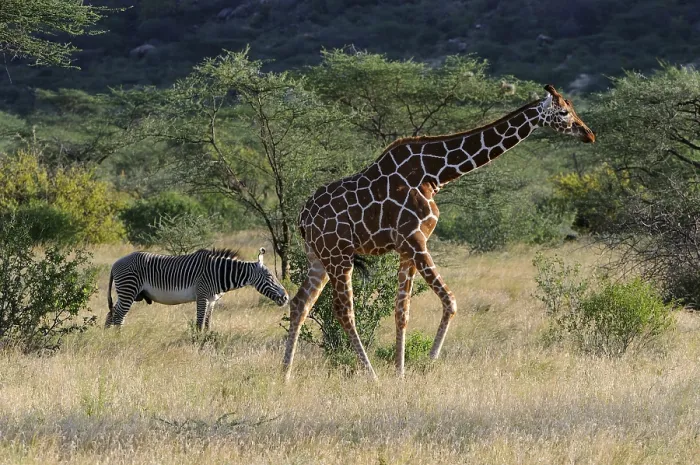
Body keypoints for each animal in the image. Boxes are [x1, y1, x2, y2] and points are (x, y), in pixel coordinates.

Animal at [283, 84, 595, 380]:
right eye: (564, 112)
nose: (589, 134)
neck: (434, 173)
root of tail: (302, 217)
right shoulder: (415, 239)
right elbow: (450, 301)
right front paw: (430, 360)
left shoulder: (406, 248)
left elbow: (402, 311)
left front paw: (400, 372)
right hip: (338, 255)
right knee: (344, 311)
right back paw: (371, 375)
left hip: (319, 257)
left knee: (300, 303)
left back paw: (284, 373)